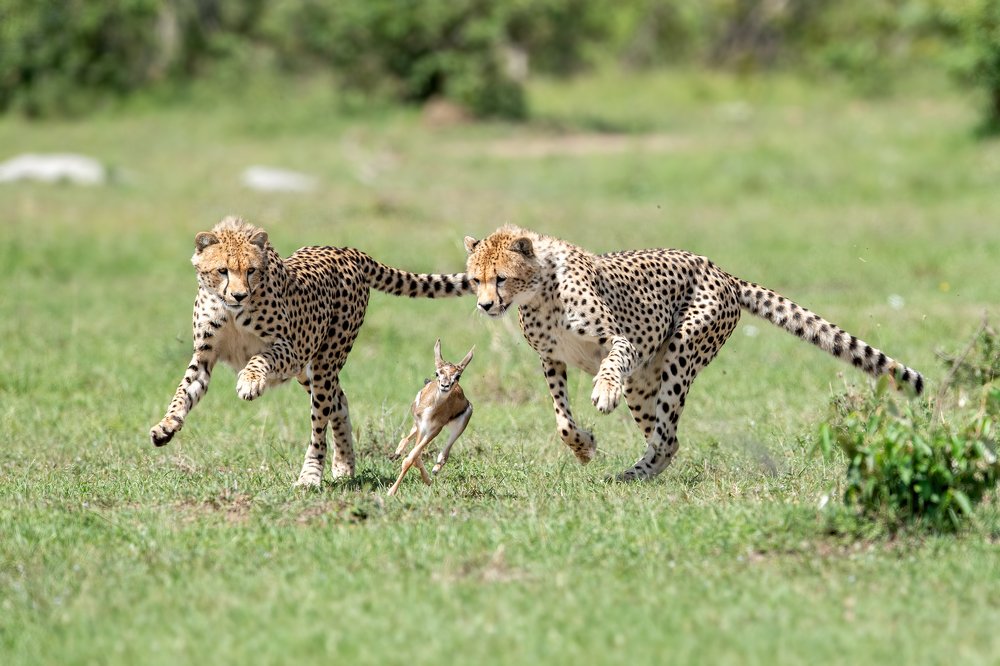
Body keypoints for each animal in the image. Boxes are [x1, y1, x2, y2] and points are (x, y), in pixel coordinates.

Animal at [149, 216, 471, 487]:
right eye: (222, 271)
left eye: (251, 271)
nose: (239, 295)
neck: (230, 310)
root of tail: (346, 251)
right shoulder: (205, 355)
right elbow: (183, 391)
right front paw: (166, 426)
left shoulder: (289, 349)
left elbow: (259, 357)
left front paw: (250, 382)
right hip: (311, 370)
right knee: (339, 401)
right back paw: (344, 465)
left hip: (322, 362)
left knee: (320, 424)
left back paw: (311, 476)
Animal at [463, 224, 925, 481]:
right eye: (475, 279)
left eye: (500, 277)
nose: (484, 306)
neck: (539, 290)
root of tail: (722, 271)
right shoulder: (552, 360)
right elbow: (562, 420)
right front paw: (583, 445)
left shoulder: (622, 341)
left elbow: (609, 365)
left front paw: (604, 393)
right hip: (644, 382)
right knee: (667, 439)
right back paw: (635, 474)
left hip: (682, 352)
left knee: (667, 435)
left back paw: (632, 474)